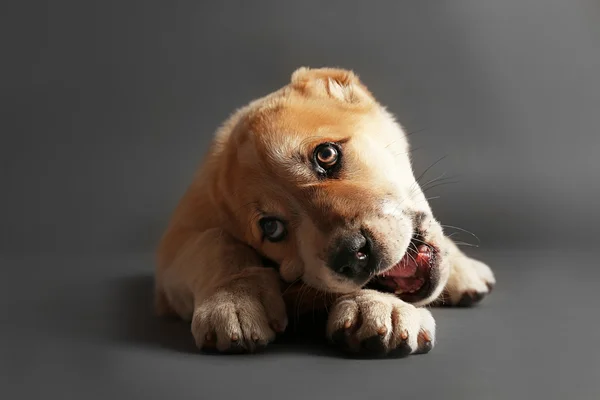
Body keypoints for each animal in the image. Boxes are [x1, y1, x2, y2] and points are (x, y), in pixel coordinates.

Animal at [156, 66, 496, 356]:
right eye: (271, 228)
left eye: (326, 155)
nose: (352, 254)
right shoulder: (173, 251)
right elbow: (214, 242)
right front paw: (233, 299)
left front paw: (382, 305)